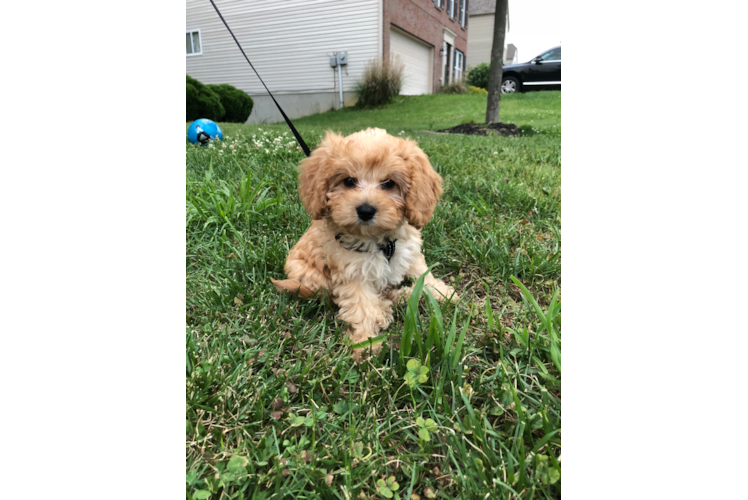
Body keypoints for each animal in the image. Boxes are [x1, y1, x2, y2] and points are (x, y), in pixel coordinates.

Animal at [270, 128, 456, 360]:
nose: (365, 210)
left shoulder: (409, 250)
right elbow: (362, 307)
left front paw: (441, 292)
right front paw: (366, 344)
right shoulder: (353, 273)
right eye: (348, 181)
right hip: (309, 275)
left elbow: (422, 272)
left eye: (389, 183)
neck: (380, 241)